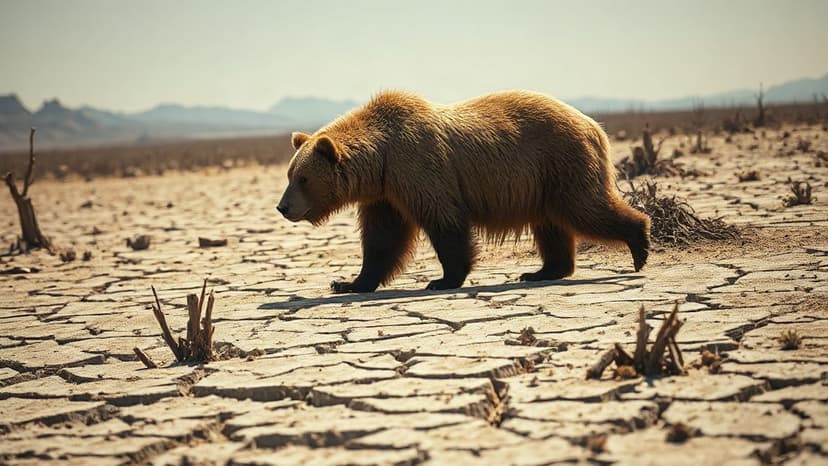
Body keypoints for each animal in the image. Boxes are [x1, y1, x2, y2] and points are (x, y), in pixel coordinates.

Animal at [277, 90, 650, 293]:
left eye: (303, 179)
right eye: (290, 174)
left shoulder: (419, 167)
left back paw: (639, 244)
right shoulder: (386, 193)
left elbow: (444, 222)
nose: (283, 207)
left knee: (586, 208)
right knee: (553, 224)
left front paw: (443, 279)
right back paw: (541, 271)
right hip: (544, 181)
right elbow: (382, 239)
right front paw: (348, 282)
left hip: (561, 160)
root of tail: (594, 125)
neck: (381, 157)